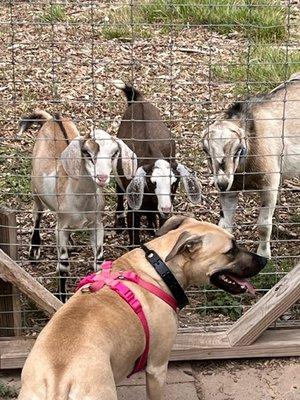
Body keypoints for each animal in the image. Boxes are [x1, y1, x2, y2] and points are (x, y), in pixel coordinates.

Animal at [18, 108, 136, 296]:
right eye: (86, 152)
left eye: (114, 153)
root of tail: (53, 118)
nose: (102, 177)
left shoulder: (97, 225)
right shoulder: (61, 230)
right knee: (37, 214)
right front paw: (61, 296)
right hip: (35, 189)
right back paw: (34, 249)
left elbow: (99, 262)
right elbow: (63, 266)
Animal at [112, 79, 202, 245]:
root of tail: (138, 100)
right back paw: (119, 222)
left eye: (174, 183)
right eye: (151, 182)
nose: (166, 209)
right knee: (119, 191)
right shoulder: (134, 208)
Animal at [202, 72, 300, 258]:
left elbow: (264, 225)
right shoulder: (230, 190)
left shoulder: (269, 184)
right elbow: (225, 225)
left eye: (239, 149)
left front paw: (263, 254)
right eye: (205, 150)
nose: (222, 183)